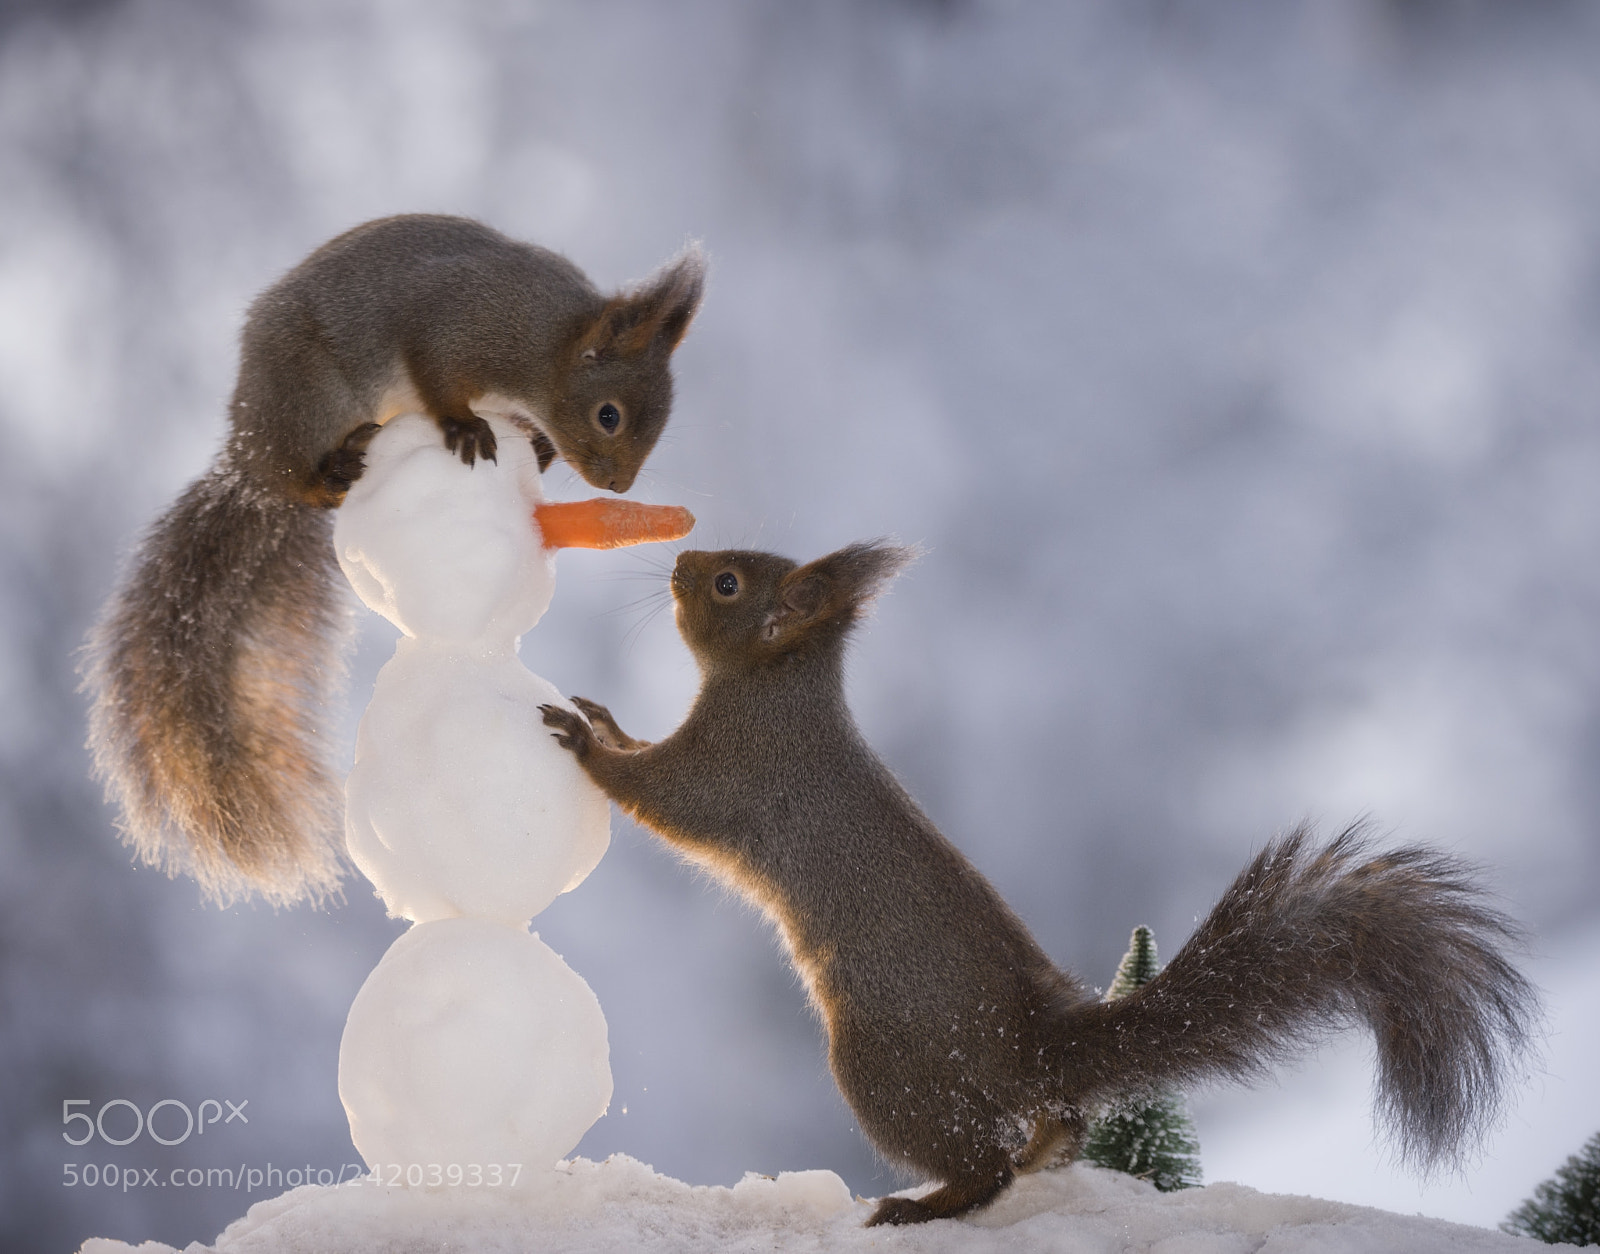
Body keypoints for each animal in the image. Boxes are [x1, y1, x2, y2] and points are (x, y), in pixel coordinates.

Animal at [83, 214, 705, 907]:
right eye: (608, 415)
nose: (619, 488)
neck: (546, 343)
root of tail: (248, 456)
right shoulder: (455, 327)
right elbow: (435, 376)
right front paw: (464, 425)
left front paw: (538, 446)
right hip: (313, 397)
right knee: (298, 478)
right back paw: (331, 473)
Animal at [539, 541, 1539, 1227]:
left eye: (728, 586)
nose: (678, 560)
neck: (780, 688)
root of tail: (1029, 1046)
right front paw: (604, 716)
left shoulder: (736, 770)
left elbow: (661, 794)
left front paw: (586, 739)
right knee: (1049, 1132)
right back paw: (1042, 1150)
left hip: (883, 1067)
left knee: (983, 1168)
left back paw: (918, 1206)